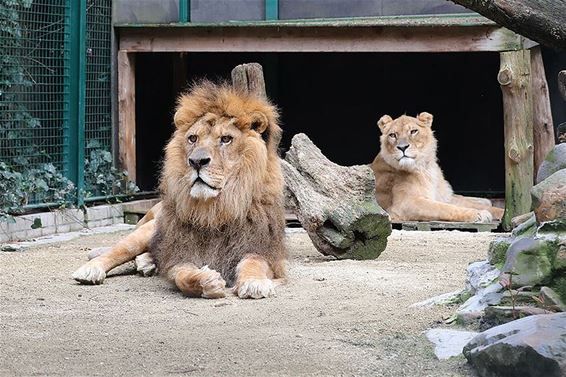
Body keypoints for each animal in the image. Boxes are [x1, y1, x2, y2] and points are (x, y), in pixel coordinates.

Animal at [74, 82, 288, 300]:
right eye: (193, 138)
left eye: (226, 139)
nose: (196, 161)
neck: (216, 210)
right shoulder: (180, 253)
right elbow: (182, 276)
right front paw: (206, 281)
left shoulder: (262, 248)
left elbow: (254, 262)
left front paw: (254, 283)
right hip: (145, 230)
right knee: (117, 251)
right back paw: (90, 270)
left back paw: (147, 263)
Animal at [372, 111, 506, 223]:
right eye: (393, 135)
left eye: (413, 131)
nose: (402, 147)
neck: (424, 168)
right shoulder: (405, 204)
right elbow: (444, 208)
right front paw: (478, 214)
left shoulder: (444, 197)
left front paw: (504, 213)